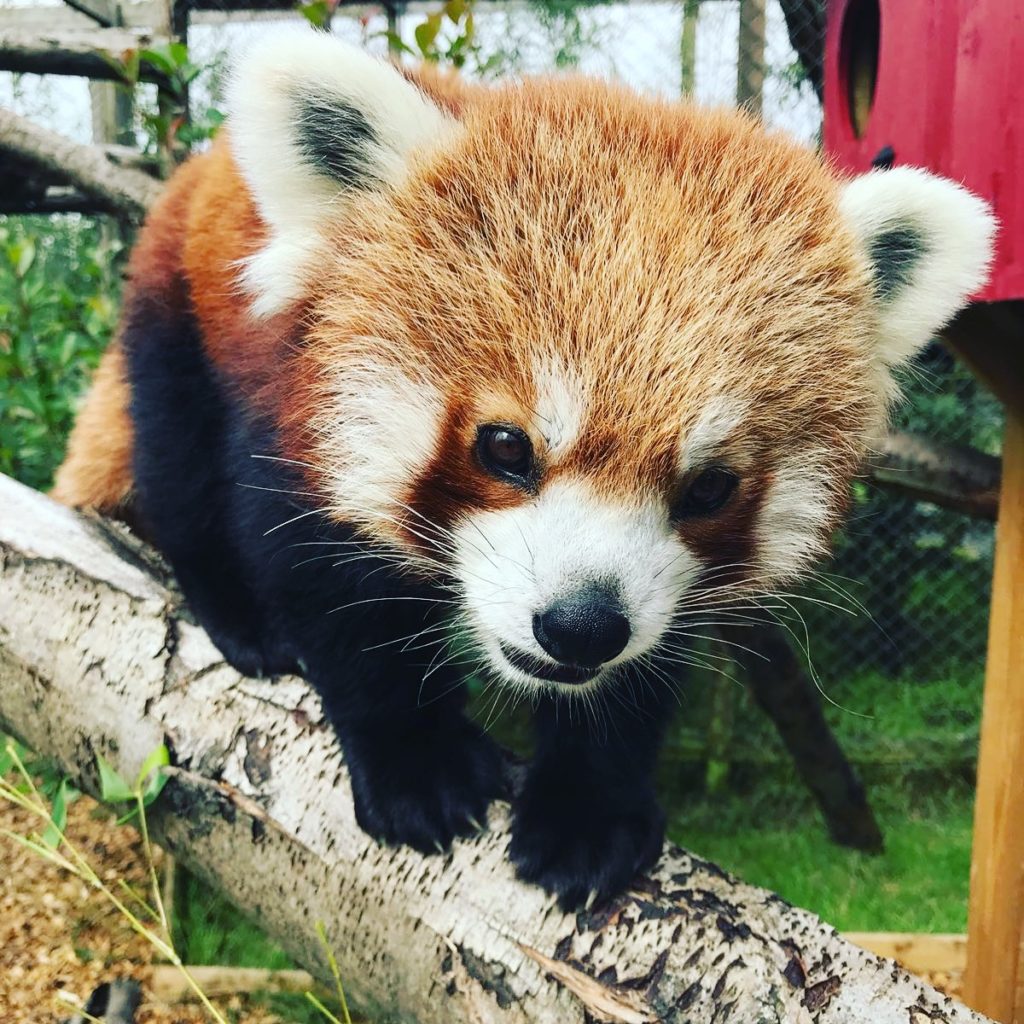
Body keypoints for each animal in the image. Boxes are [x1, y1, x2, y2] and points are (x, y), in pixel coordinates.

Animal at [54, 25, 991, 905]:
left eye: (708, 487)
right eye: (506, 447)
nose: (580, 627)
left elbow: (646, 665)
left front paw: (590, 809)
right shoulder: (294, 415)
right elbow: (322, 580)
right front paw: (415, 758)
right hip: (173, 316)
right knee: (178, 464)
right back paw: (239, 615)